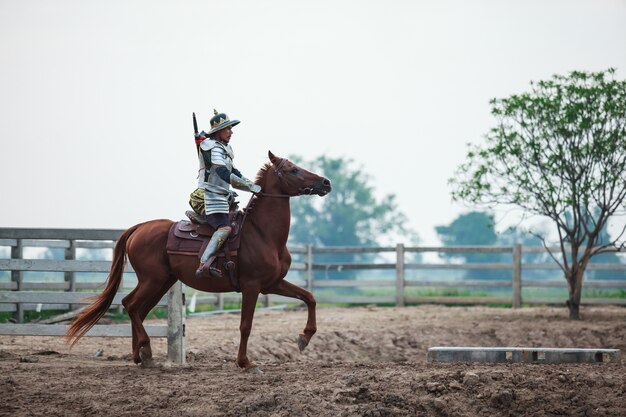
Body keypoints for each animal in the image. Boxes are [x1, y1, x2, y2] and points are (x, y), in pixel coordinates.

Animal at [66, 152, 332, 370]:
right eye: (292, 170)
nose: (325, 182)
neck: (261, 233)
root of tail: (139, 228)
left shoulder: (272, 284)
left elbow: (309, 297)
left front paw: (304, 337)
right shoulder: (252, 286)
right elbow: (245, 325)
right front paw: (245, 363)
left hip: (161, 282)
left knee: (138, 309)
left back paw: (140, 356)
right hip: (153, 280)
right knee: (130, 305)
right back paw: (146, 351)